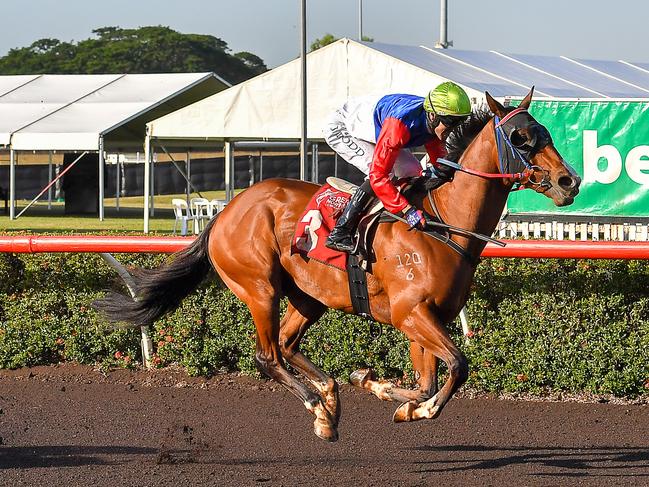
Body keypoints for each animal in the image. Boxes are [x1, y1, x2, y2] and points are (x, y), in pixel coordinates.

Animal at [93, 87, 580, 442]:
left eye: (547, 131)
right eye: (520, 138)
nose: (569, 180)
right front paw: (400, 398)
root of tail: (227, 211)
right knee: (268, 355)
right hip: (259, 288)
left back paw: (329, 399)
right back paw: (318, 408)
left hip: (310, 296)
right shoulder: (410, 314)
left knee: (287, 345)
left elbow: (428, 379)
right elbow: (458, 366)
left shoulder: (428, 318)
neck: (442, 223)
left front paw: (386, 392)